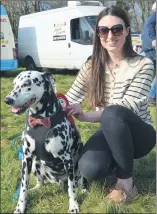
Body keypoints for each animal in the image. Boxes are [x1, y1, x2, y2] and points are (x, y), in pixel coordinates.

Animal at [3, 70, 87, 212]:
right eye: (14, 84)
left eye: (27, 83)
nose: (7, 100)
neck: (40, 121)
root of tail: (57, 181)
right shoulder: (26, 158)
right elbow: (23, 187)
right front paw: (20, 207)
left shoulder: (67, 160)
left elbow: (72, 189)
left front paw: (74, 205)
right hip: (35, 164)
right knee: (40, 183)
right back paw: (35, 189)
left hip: (77, 167)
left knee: (78, 183)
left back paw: (83, 190)